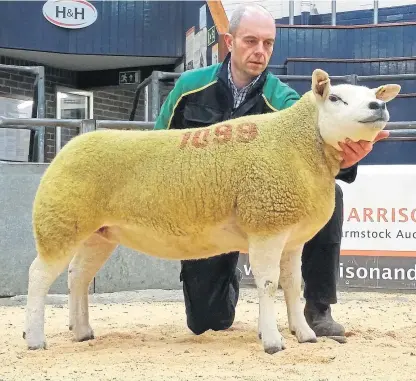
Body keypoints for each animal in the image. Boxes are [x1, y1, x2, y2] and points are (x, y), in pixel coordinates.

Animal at [22, 69, 400, 354]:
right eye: (335, 98)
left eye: (372, 94)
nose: (378, 105)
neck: (298, 144)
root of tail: (71, 145)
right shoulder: (266, 224)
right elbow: (267, 284)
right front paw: (273, 342)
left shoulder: (291, 236)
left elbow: (293, 286)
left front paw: (304, 333)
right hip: (59, 222)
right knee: (39, 276)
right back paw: (35, 338)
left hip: (97, 233)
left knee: (78, 276)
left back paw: (82, 330)